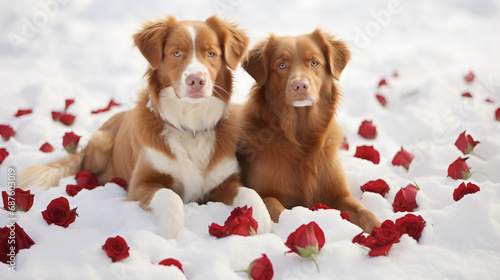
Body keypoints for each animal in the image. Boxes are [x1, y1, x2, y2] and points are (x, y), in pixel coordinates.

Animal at [21, 15, 274, 238]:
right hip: (102, 143)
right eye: (176, 53)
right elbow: (171, 197)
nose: (196, 81)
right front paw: (168, 232)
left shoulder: (224, 182)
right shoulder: (141, 184)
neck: (190, 125)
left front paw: (262, 222)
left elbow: (250, 192)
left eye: (211, 53)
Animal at [236, 29, 380, 233]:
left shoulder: (339, 195)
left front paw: (381, 229)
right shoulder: (264, 193)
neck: (301, 136)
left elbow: (364, 212)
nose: (300, 85)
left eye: (314, 63)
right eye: (281, 65)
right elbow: (276, 206)